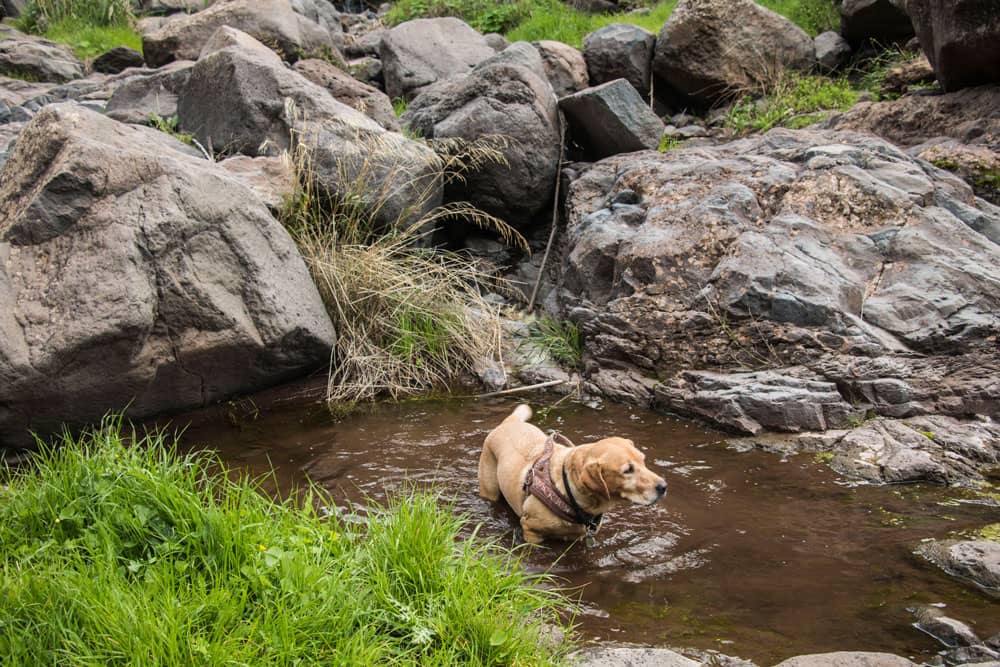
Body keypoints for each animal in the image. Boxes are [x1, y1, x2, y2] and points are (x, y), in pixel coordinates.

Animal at [480, 404, 668, 544]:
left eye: (643, 460)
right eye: (627, 470)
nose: (663, 486)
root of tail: (508, 422)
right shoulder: (531, 530)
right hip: (489, 489)